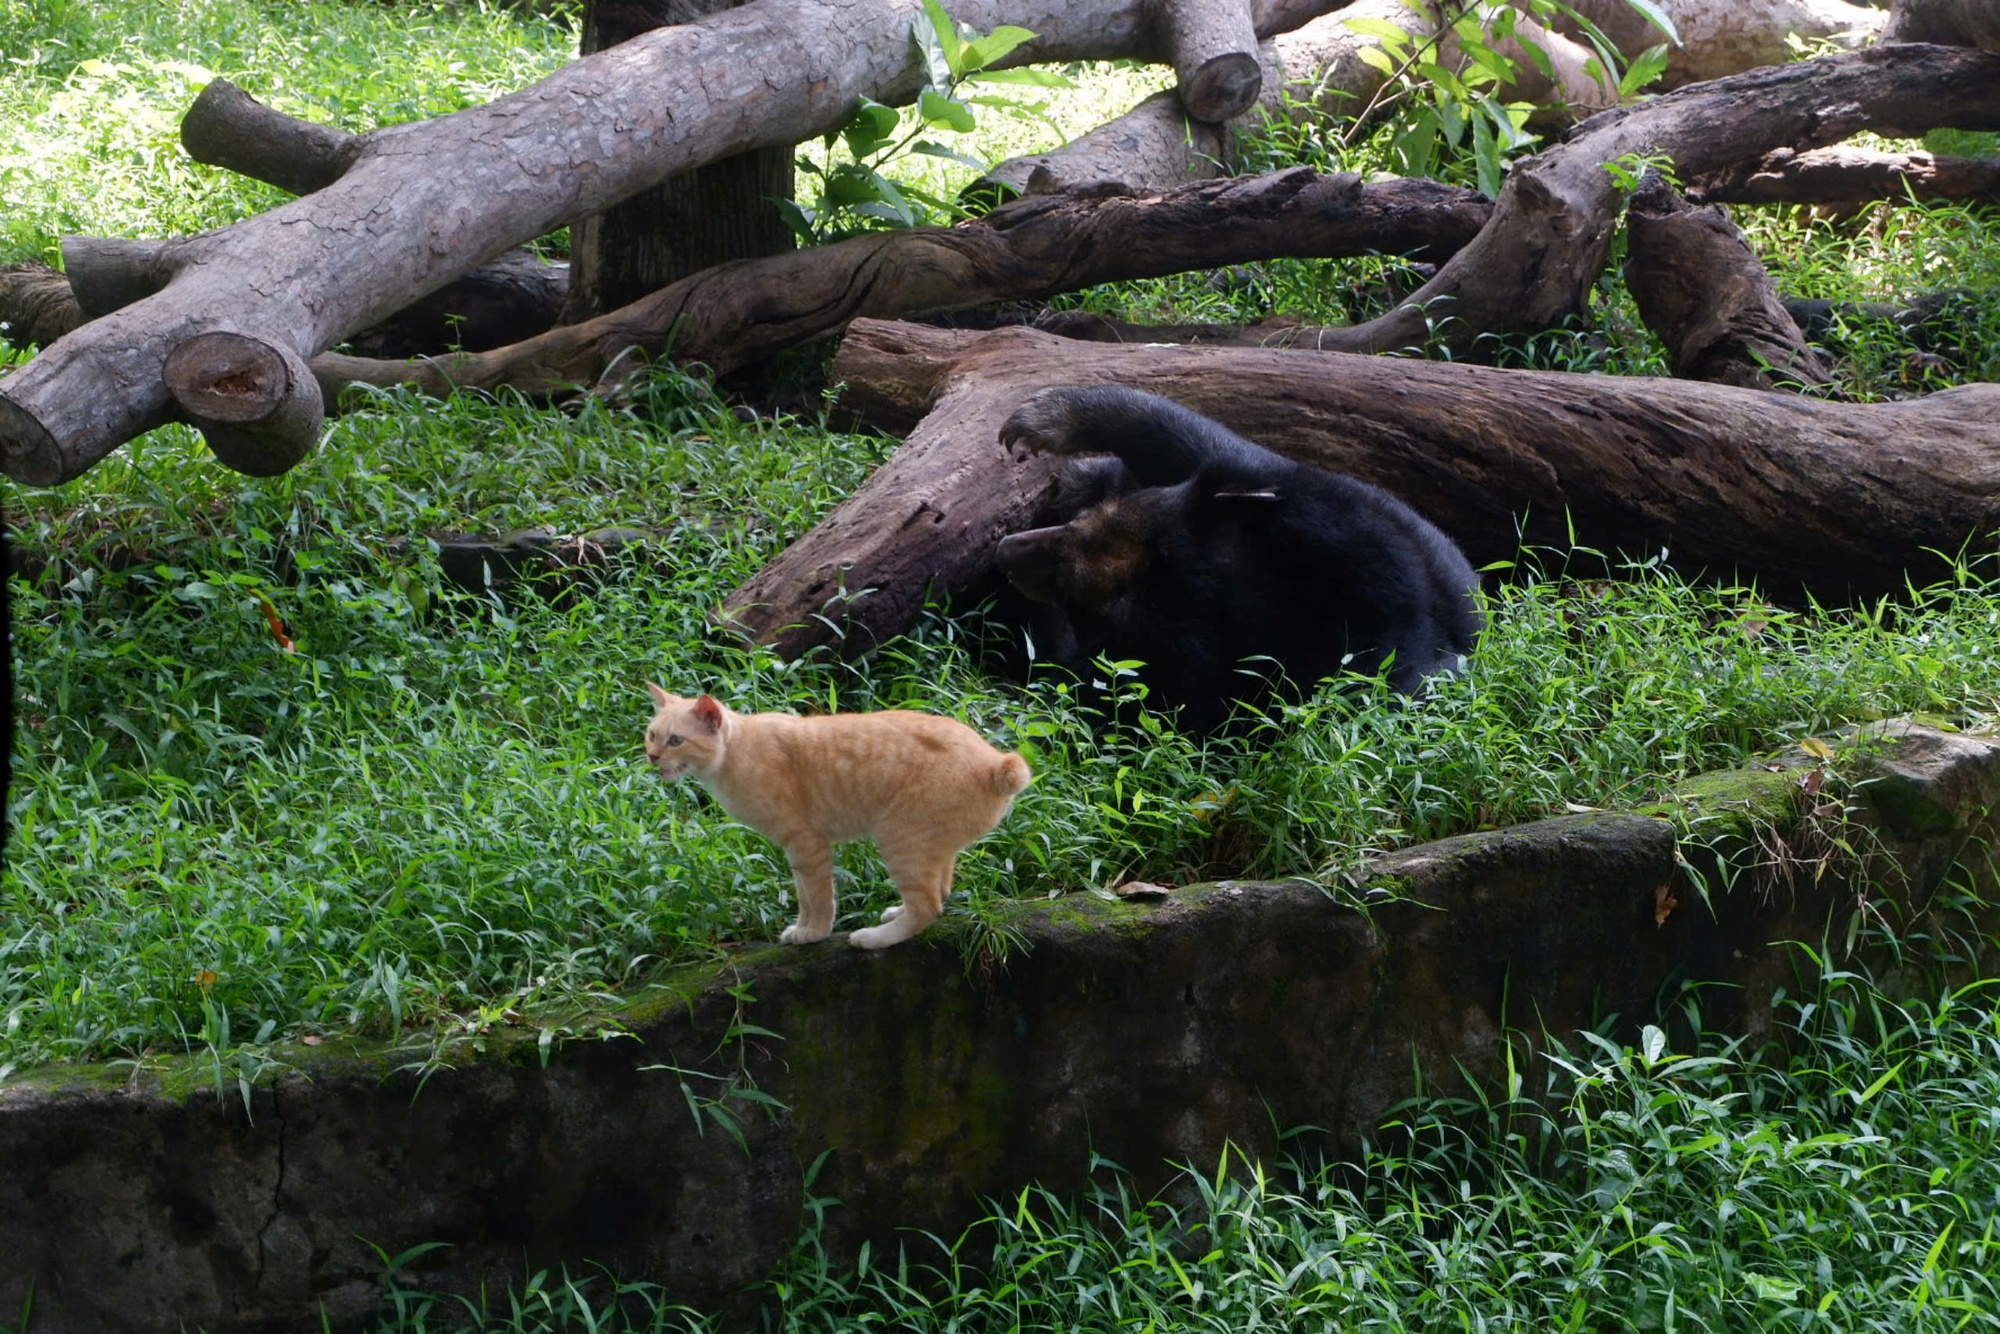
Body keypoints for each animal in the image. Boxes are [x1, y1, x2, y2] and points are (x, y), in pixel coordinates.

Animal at [648, 688, 1040, 948]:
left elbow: (819, 896)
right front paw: (802, 927)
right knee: (939, 892)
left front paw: (814, 932)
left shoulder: (807, 843)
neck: (735, 753)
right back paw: (895, 913)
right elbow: (804, 894)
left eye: (675, 740)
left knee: (928, 906)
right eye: (651, 735)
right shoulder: (796, 851)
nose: (651, 756)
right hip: (929, 846)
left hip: (900, 840)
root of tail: (995, 762)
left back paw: (874, 938)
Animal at [992, 380, 1480, 736]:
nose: (1007, 550)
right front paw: (1041, 419)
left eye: (1075, 578)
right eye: (1085, 523)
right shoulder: (1326, 513)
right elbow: (1194, 443)